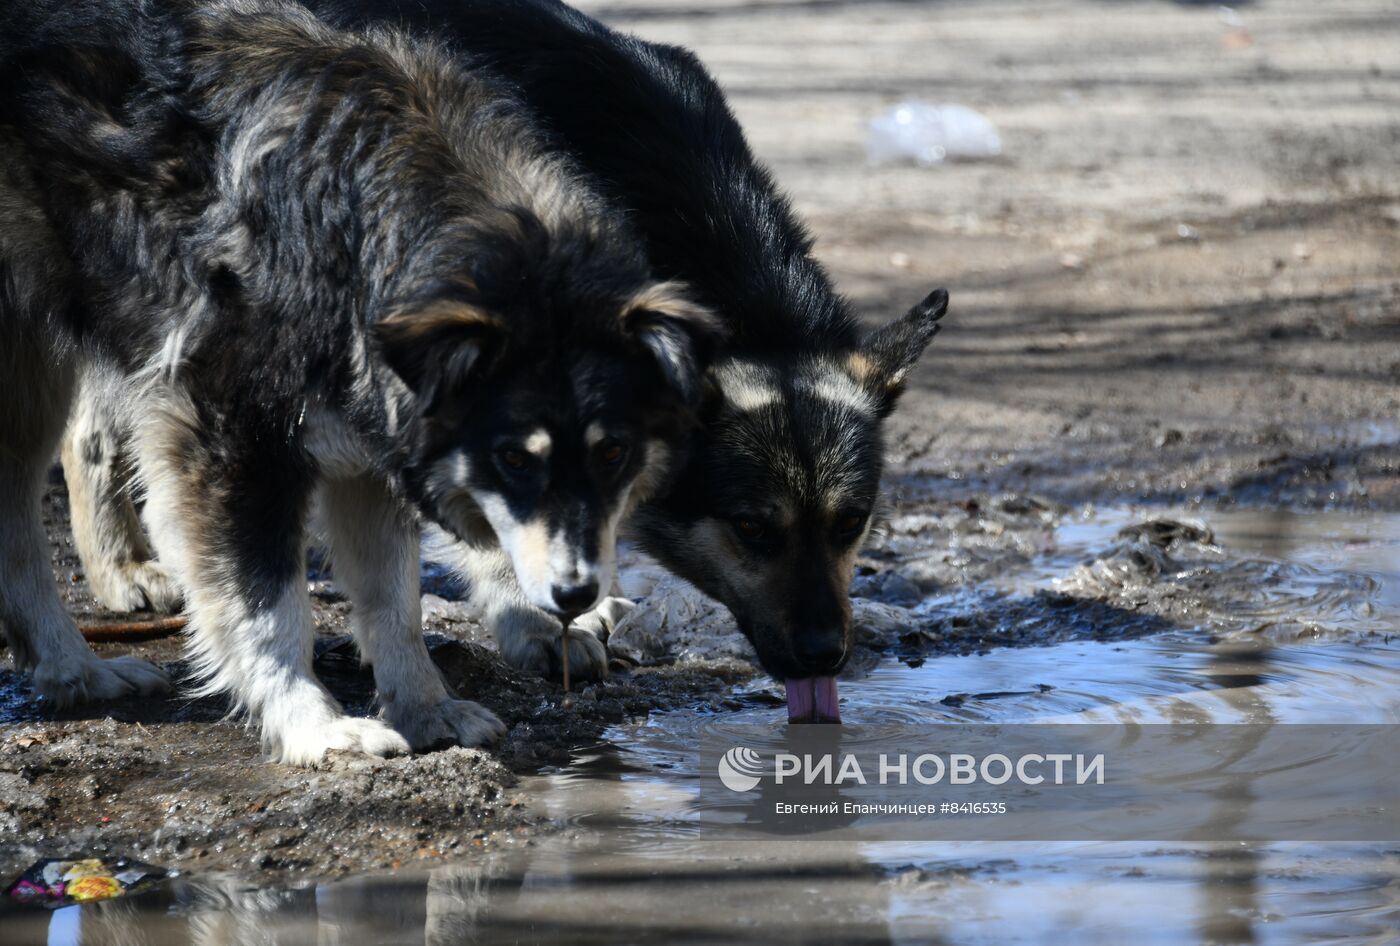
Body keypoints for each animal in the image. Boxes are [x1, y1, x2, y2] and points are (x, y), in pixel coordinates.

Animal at [0, 0, 716, 755]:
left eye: (613, 454)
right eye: (515, 460)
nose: (578, 598)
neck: (364, 227)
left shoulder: (368, 441)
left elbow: (393, 599)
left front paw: (427, 707)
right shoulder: (229, 439)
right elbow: (269, 605)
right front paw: (312, 725)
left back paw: (75, 671)